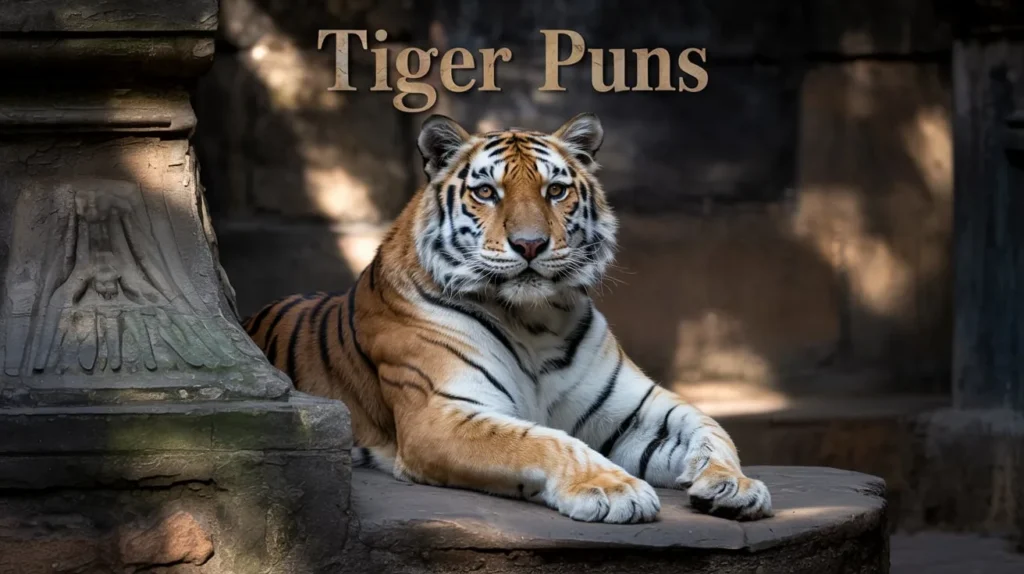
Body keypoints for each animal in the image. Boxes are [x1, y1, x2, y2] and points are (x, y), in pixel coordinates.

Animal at [243, 113, 773, 523]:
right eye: (486, 192)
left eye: (555, 190)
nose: (530, 244)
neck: (535, 320)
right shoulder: (440, 414)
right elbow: (543, 442)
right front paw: (613, 489)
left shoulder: (636, 410)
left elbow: (710, 427)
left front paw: (735, 485)